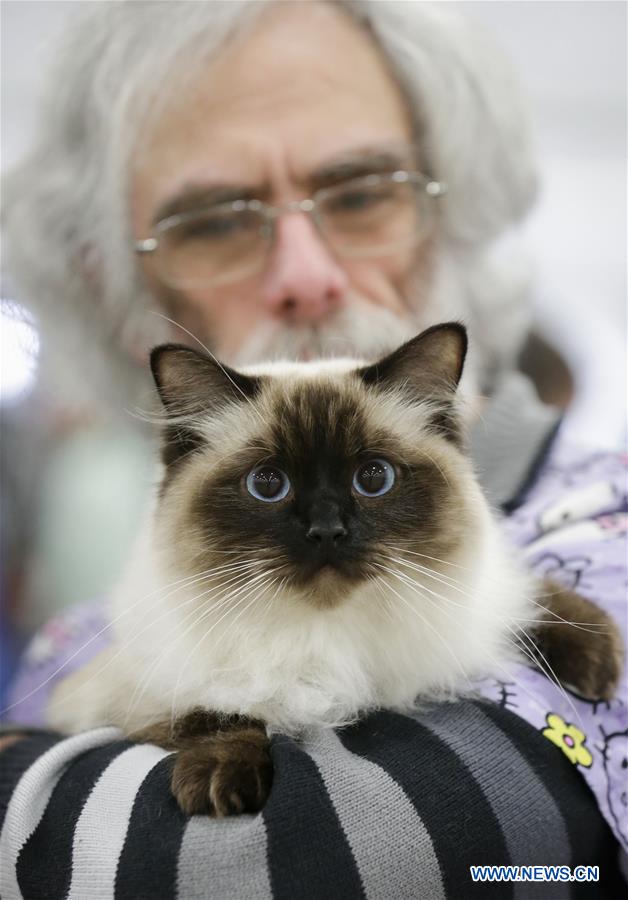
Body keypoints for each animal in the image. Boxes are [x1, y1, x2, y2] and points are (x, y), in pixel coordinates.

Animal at [50, 324, 624, 816]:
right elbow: (219, 708)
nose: (327, 531)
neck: (329, 637)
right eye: (268, 484)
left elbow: (531, 595)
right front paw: (218, 782)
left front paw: (600, 669)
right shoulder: (125, 701)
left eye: (373, 478)